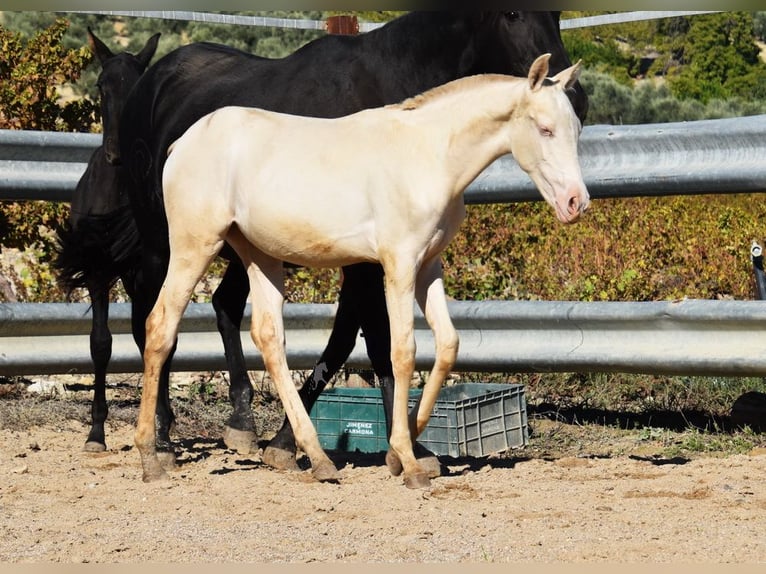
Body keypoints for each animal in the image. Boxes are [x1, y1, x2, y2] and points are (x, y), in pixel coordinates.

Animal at [117, 11, 592, 476]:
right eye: (545, 129)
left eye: (575, 128)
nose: (576, 202)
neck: (427, 153)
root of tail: (181, 142)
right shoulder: (396, 264)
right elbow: (400, 351)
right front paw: (407, 458)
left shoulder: (428, 265)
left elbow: (447, 344)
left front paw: (410, 445)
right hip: (190, 247)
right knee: (159, 325)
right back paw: (154, 454)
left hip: (259, 256)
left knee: (267, 336)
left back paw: (314, 457)